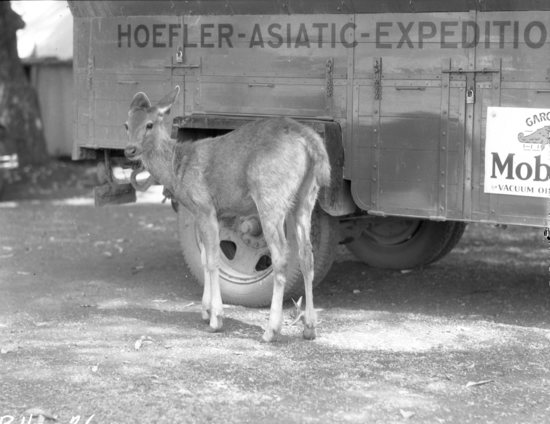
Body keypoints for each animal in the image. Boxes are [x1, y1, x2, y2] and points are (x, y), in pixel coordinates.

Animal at [124, 86, 332, 342]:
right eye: (126, 124)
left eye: (150, 124)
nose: (129, 150)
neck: (178, 168)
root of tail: (308, 137)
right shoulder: (210, 213)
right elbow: (205, 257)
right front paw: (205, 310)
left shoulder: (204, 205)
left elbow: (213, 260)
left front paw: (216, 318)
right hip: (306, 196)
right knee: (306, 254)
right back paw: (310, 327)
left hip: (270, 194)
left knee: (281, 255)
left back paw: (271, 330)